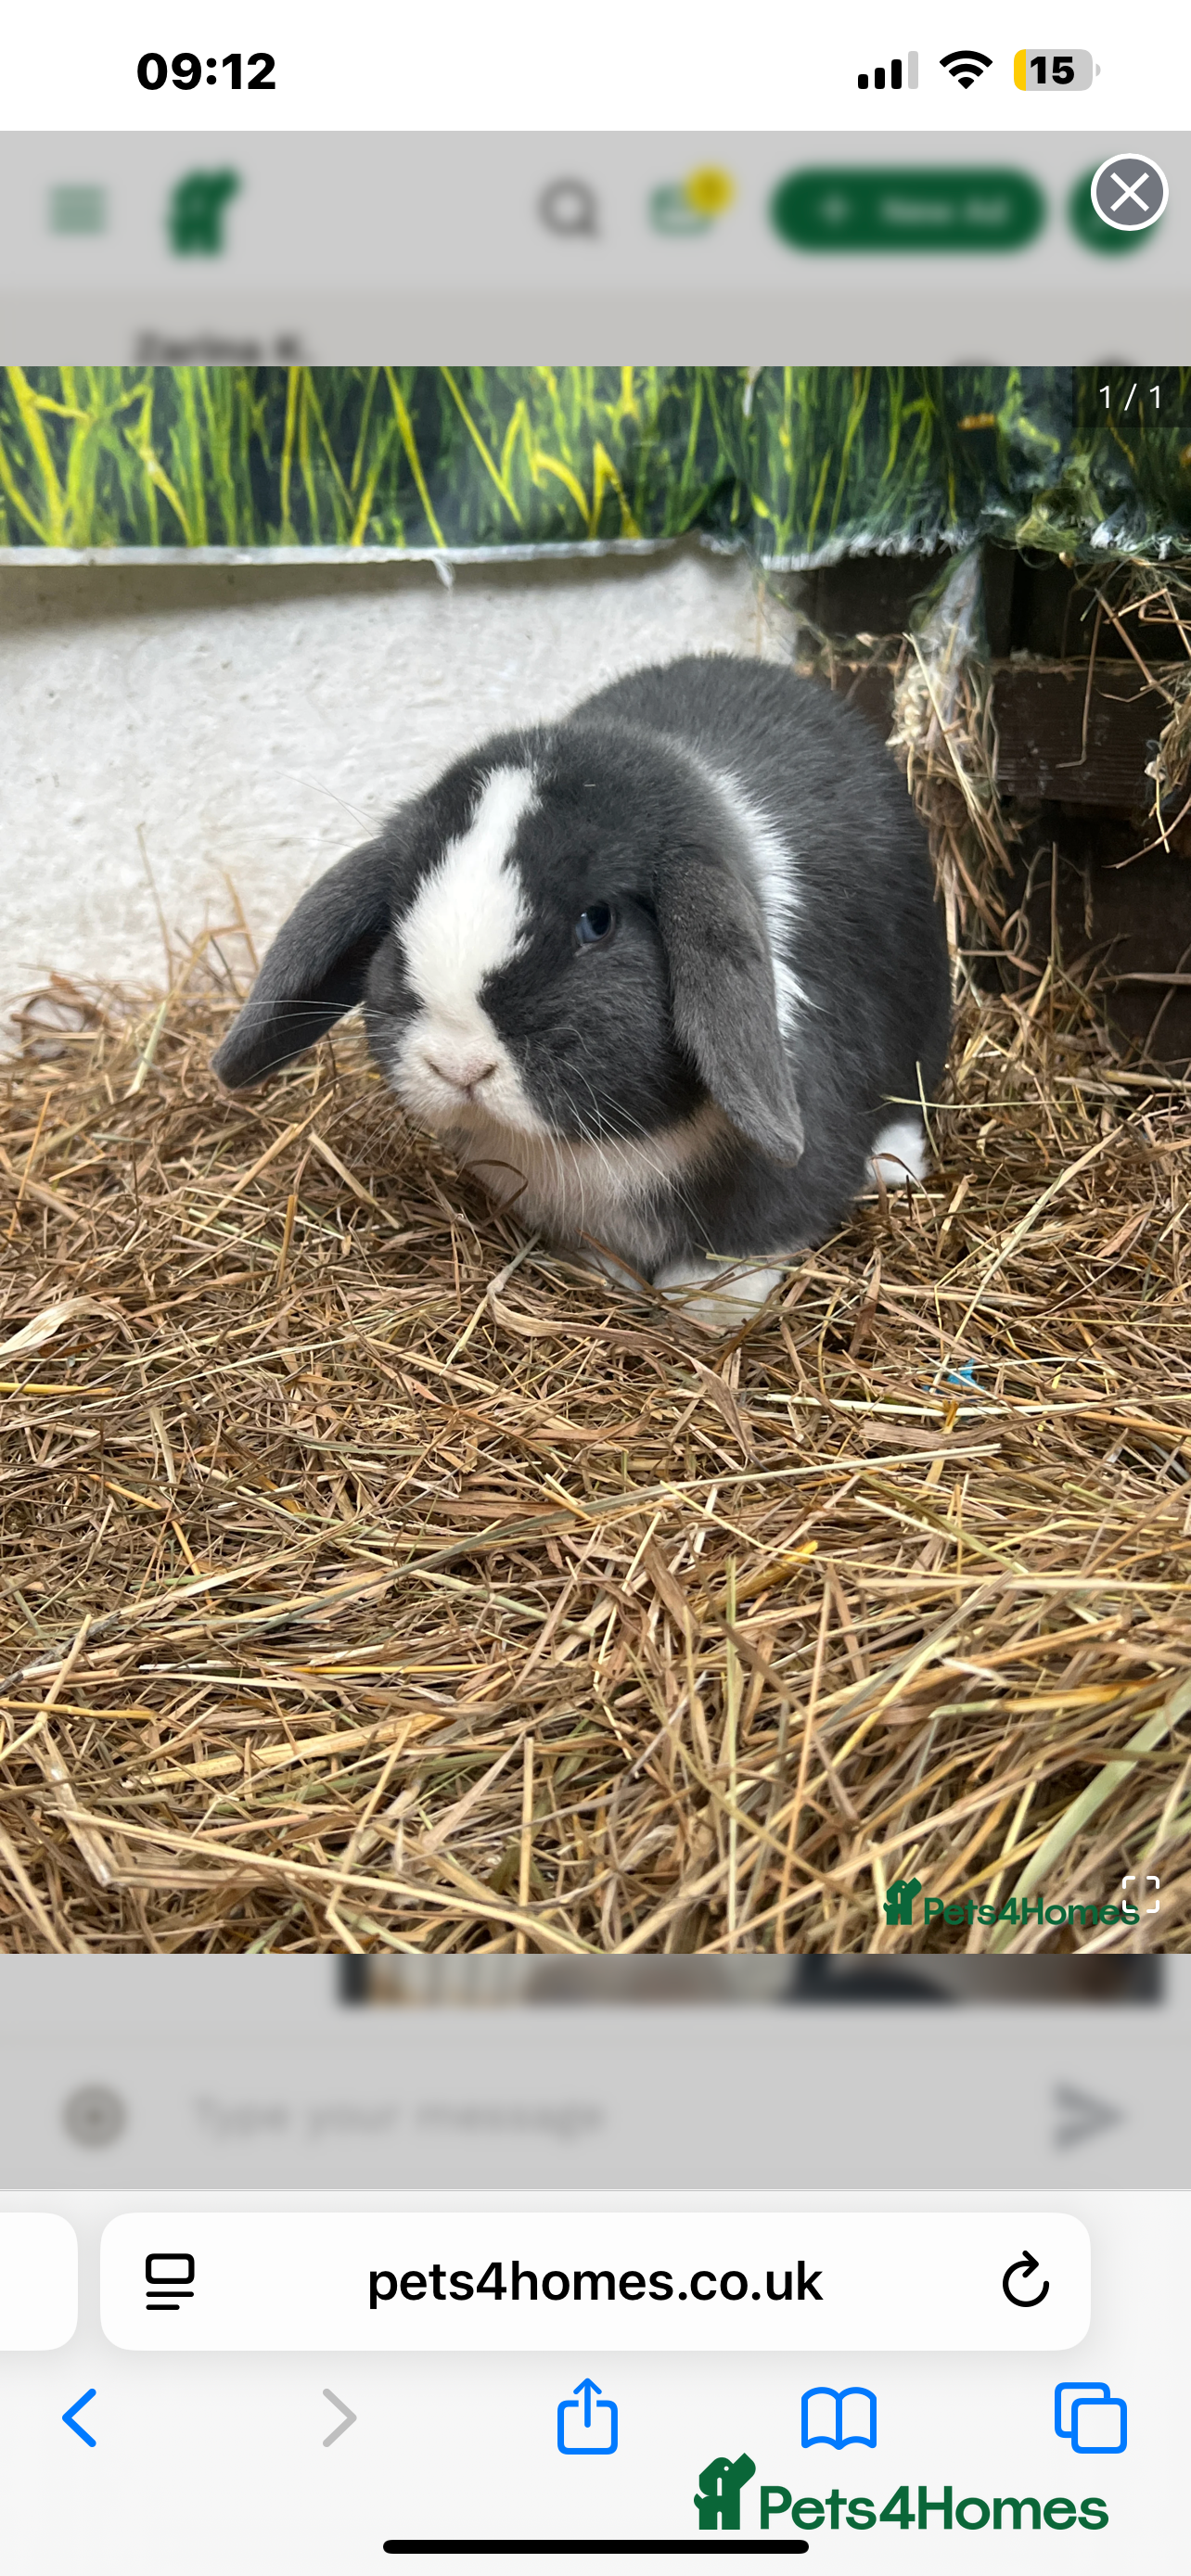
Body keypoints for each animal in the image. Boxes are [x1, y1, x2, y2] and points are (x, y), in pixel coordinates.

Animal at [212, 654, 951, 1330]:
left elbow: (740, 1250)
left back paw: (894, 1167)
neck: (604, 1145)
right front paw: (604, 1278)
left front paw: (701, 1312)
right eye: (399, 916)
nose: (459, 1066)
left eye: (597, 921)